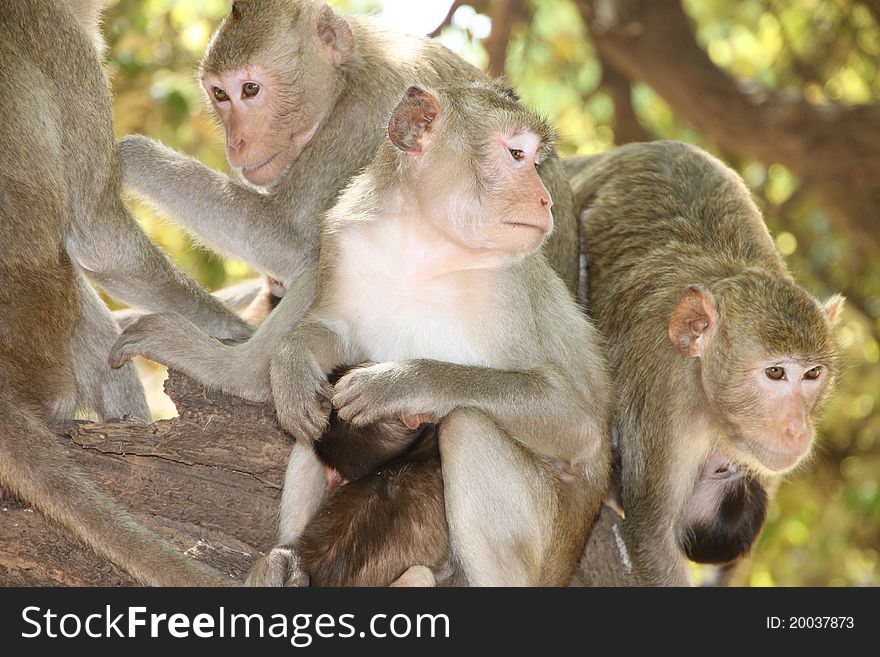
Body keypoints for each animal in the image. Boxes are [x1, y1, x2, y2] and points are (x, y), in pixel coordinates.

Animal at [113, 0, 584, 390]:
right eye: (219, 94)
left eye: (250, 90)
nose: (237, 144)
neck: (350, 74)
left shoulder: (364, 116)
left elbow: (296, 242)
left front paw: (127, 155)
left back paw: (233, 372)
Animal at [239, 80, 612, 584]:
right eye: (517, 154)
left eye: (535, 162)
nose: (545, 200)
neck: (426, 244)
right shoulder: (342, 240)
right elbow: (329, 333)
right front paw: (292, 363)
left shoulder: (511, 285)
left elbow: (576, 422)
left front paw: (400, 383)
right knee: (309, 424)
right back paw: (286, 562)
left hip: (549, 545)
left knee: (469, 425)